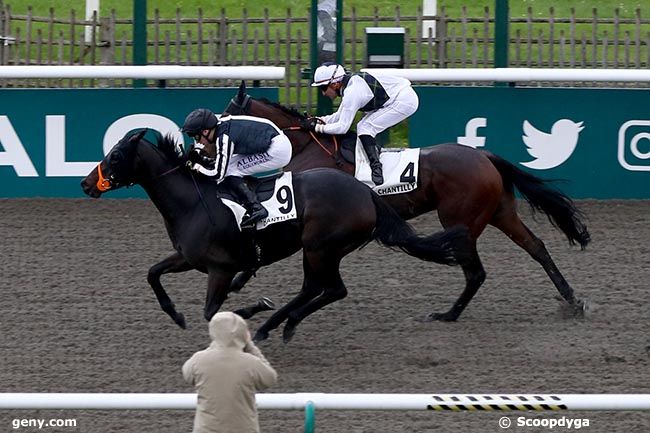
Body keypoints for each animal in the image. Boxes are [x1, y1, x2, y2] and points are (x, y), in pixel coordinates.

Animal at [81, 128, 468, 340]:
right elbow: (153, 273)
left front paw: (250, 309)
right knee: (316, 289)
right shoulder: (188, 258)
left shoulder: (221, 269)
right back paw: (275, 325)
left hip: (320, 247)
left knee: (330, 289)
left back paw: (274, 322)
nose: (86, 184)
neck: (192, 201)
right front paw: (175, 314)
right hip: (317, 250)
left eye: (116, 155)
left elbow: (212, 312)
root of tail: (365, 192)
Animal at [224, 80, 592, 320]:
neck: (308, 147)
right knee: (536, 248)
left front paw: (239, 281)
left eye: (228, 112)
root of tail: (484, 155)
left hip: (461, 220)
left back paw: (448, 315)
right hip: (500, 213)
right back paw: (572, 301)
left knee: (475, 271)